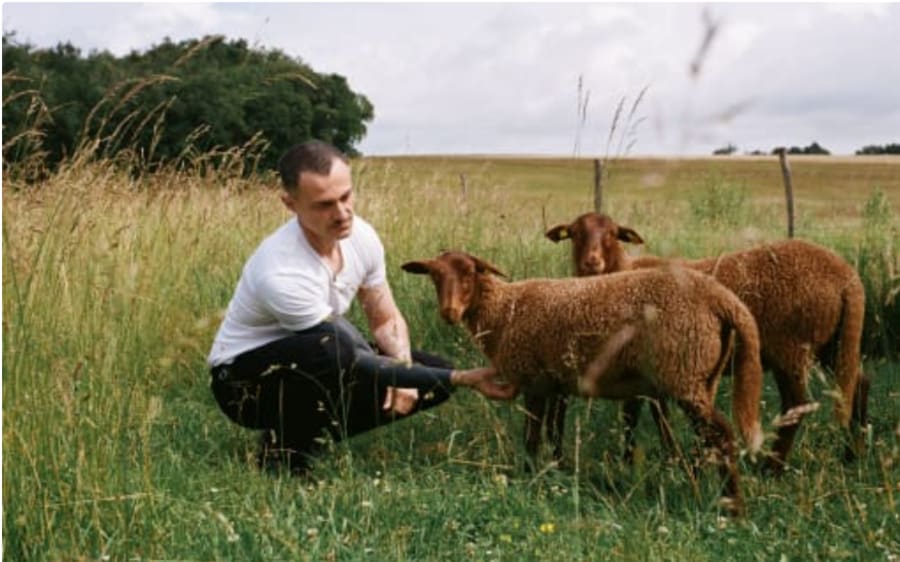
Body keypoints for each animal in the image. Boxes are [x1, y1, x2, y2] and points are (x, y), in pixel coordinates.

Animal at [404, 252, 764, 516]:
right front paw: (558, 470)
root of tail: (725, 301)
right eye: (435, 276)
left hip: (684, 372)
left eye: (469, 275)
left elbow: (532, 435)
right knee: (708, 439)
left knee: (722, 435)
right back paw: (702, 488)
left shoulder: (535, 380)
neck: (505, 309)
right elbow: (555, 432)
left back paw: (733, 508)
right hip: (704, 376)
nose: (449, 313)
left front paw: (527, 474)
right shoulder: (557, 383)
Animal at [544, 210, 868, 468]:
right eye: (574, 233)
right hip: (834, 343)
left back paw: (772, 469)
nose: (592, 262)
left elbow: (634, 416)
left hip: (791, 347)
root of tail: (847, 278)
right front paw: (670, 458)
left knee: (797, 404)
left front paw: (639, 461)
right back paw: (852, 455)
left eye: (612, 234)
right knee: (858, 384)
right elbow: (653, 414)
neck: (621, 271)